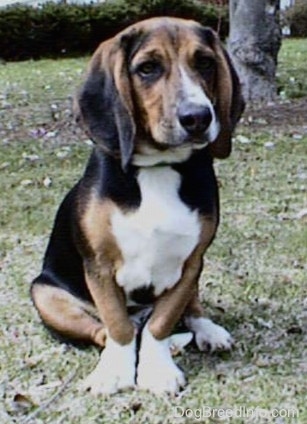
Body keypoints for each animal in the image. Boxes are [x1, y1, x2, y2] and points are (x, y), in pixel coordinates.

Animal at [30, 15, 245, 394]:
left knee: (183, 311)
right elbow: (118, 327)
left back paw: (206, 331)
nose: (198, 117)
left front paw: (157, 369)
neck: (158, 168)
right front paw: (115, 371)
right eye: (147, 68)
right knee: (106, 330)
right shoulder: (99, 267)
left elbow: (161, 323)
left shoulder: (191, 264)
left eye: (205, 62)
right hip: (44, 293)